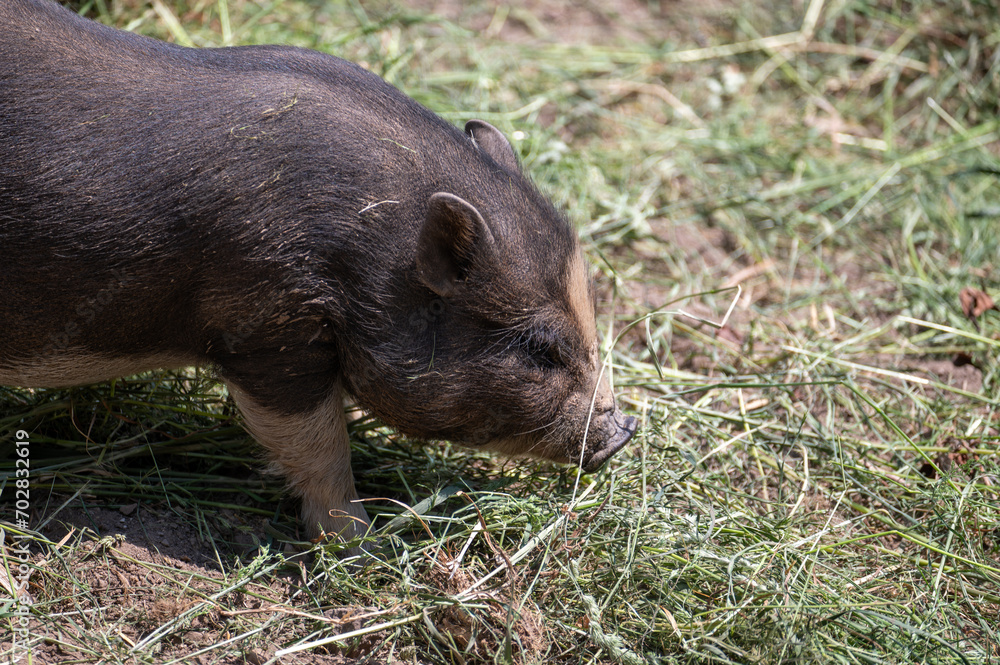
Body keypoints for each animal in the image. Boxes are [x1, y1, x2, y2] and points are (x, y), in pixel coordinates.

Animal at [0, 0, 637, 551]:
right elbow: (319, 442)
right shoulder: (267, 329)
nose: (624, 430)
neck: (375, 251)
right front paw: (361, 544)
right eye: (539, 348)